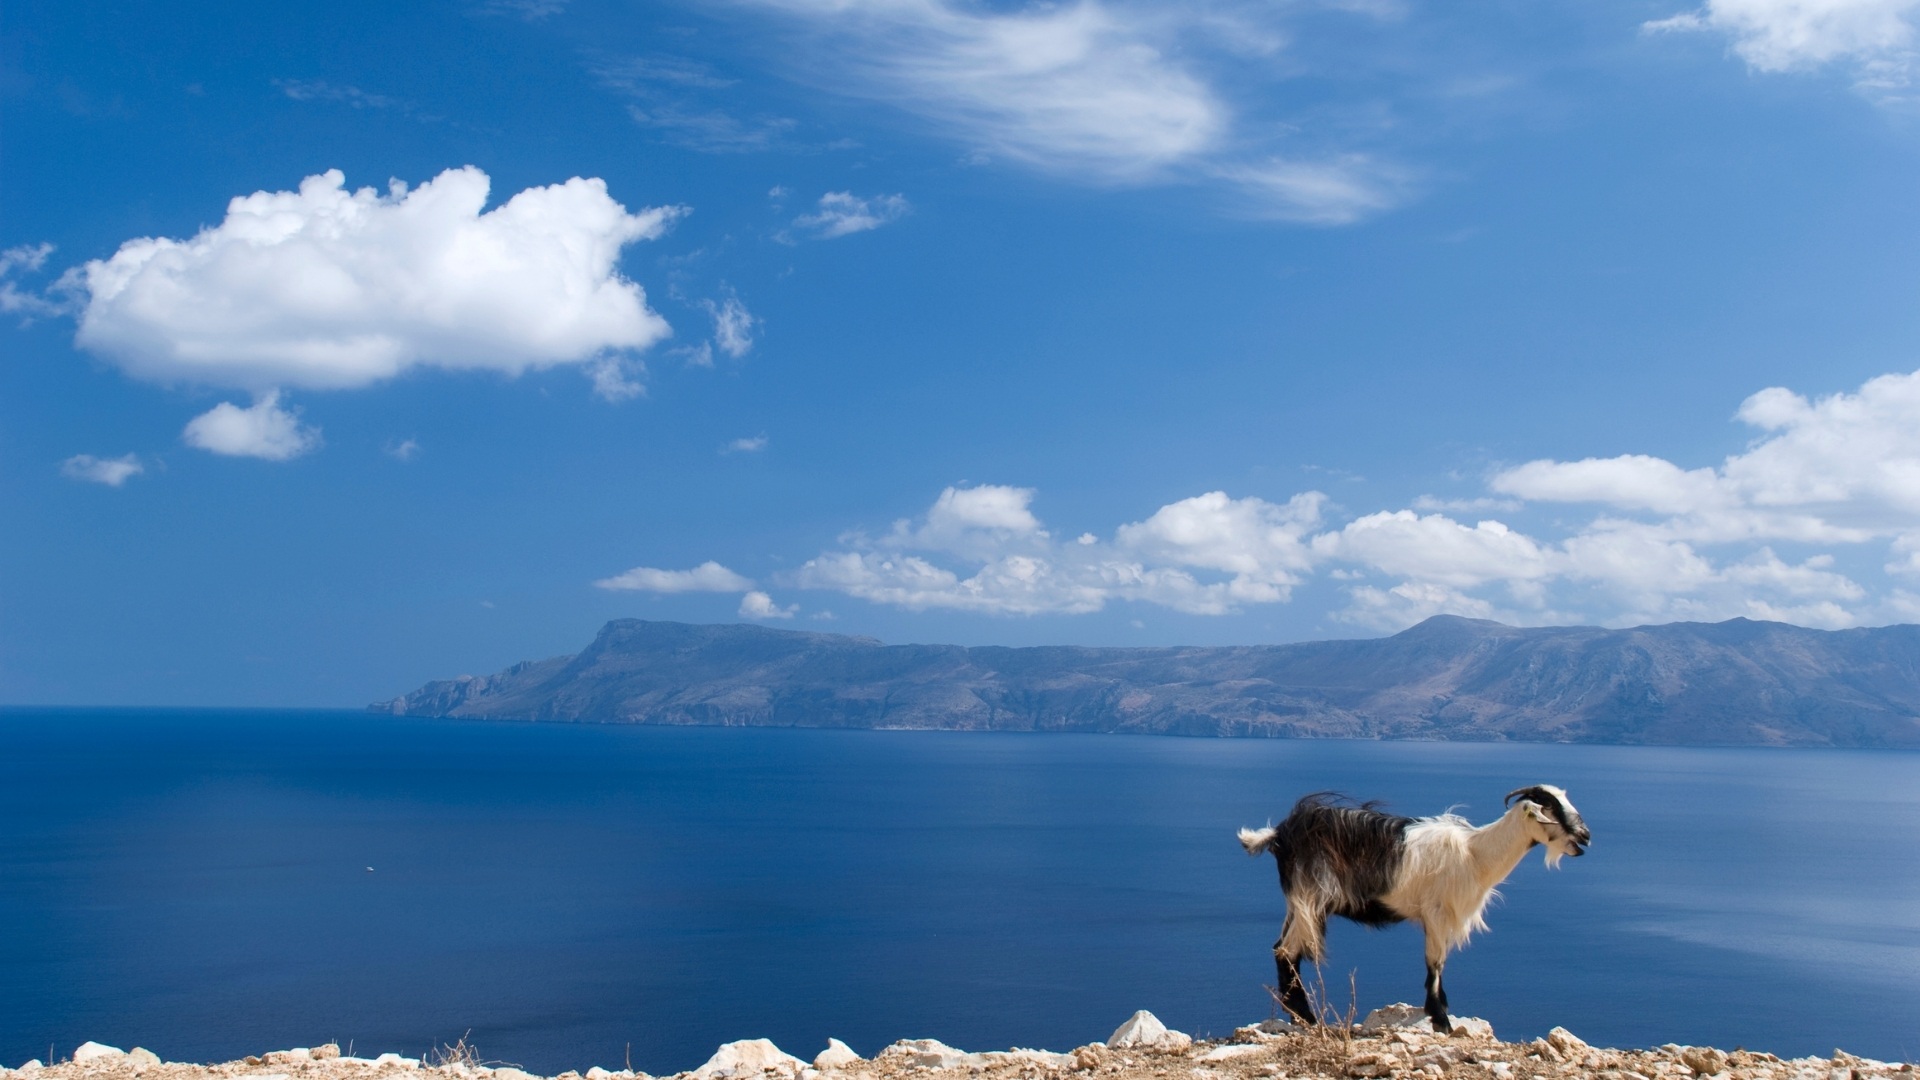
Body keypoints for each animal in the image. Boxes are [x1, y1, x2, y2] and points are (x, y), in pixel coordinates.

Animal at [1236, 787, 1597, 1030]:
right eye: (1551, 810)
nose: (1586, 837)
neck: (1476, 854)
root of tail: (1280, 834)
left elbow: (1439, 962)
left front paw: (1442, 1009)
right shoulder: (1436, 913)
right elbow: (1435, 963)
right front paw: (1441, 1019)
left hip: (1298, 903)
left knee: (1280, 948)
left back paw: (1297, 1013)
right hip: (1311, 896)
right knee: (1288, 951)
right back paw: (1307, 1016)